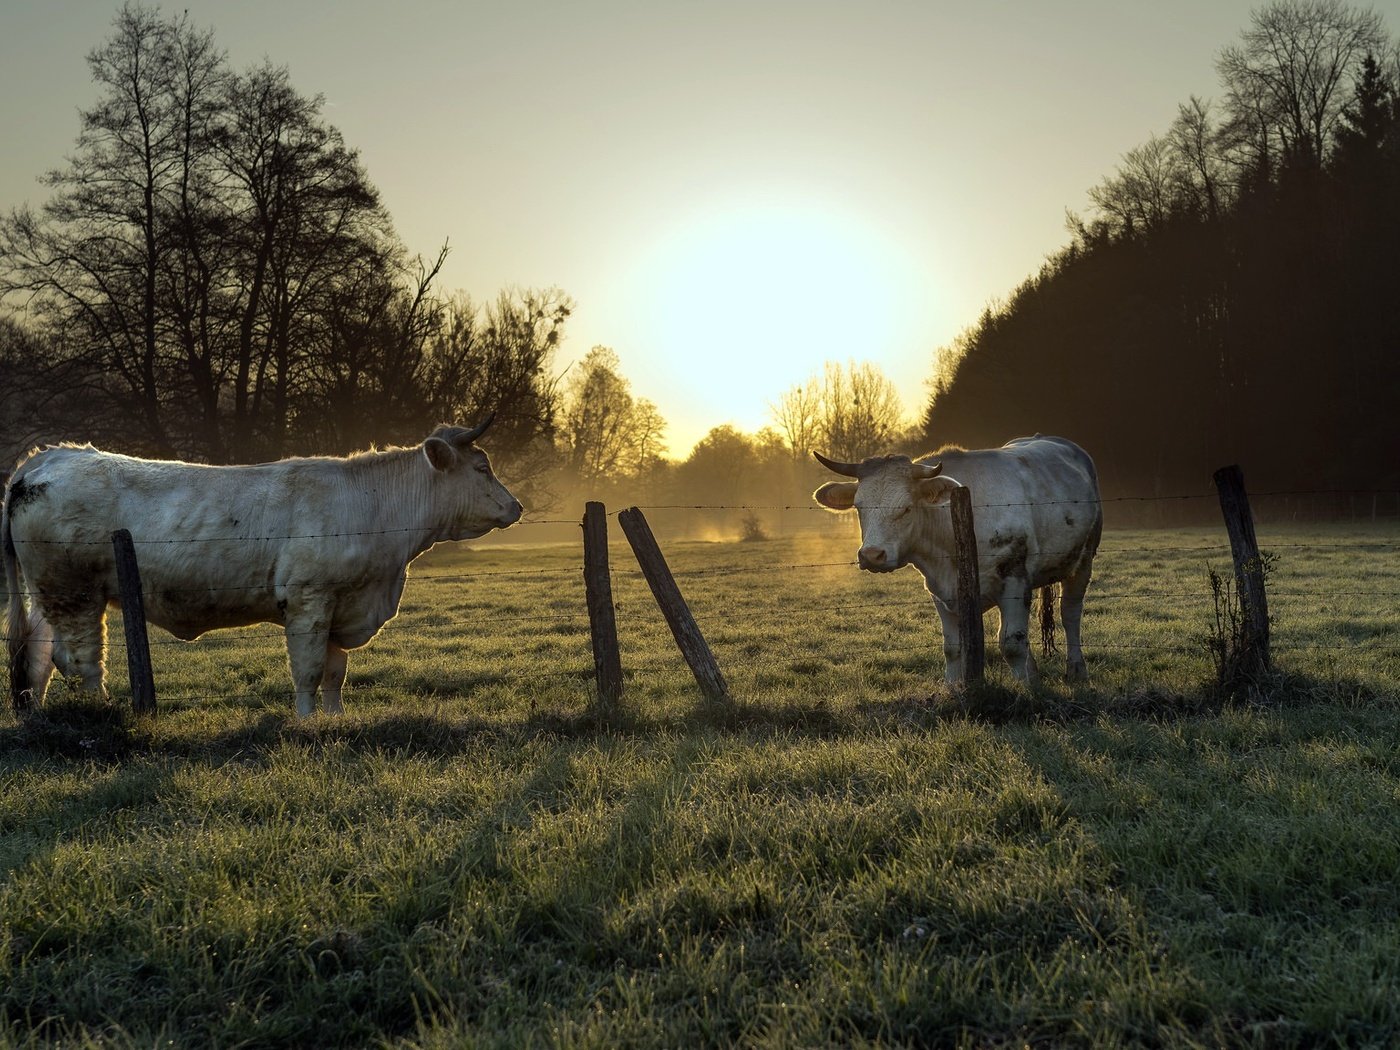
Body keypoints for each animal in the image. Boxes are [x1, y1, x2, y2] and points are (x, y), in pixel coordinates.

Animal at [5, 422, 520, 722]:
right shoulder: (310, 599)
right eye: (482, 467)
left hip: (52, 597)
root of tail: (52, 455)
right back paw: (102, 711)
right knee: (80, 661)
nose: (516, 507)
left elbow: (335, 672)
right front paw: (307, 724)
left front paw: (334, 720)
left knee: (40, 656)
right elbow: (310, 669)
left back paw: (42, 715)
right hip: (74, 594)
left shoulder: (342, 603)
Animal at [812, 439, 1103, 686]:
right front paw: (952, 689)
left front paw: (1029, 690)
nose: (872, 555)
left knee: (1070, 613)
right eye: (858, 506)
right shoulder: (940, 589)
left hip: (1083, 560)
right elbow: (953, 647)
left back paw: (1077, 670)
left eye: (906, 508)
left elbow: (1011, 644)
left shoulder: (1014, 579)